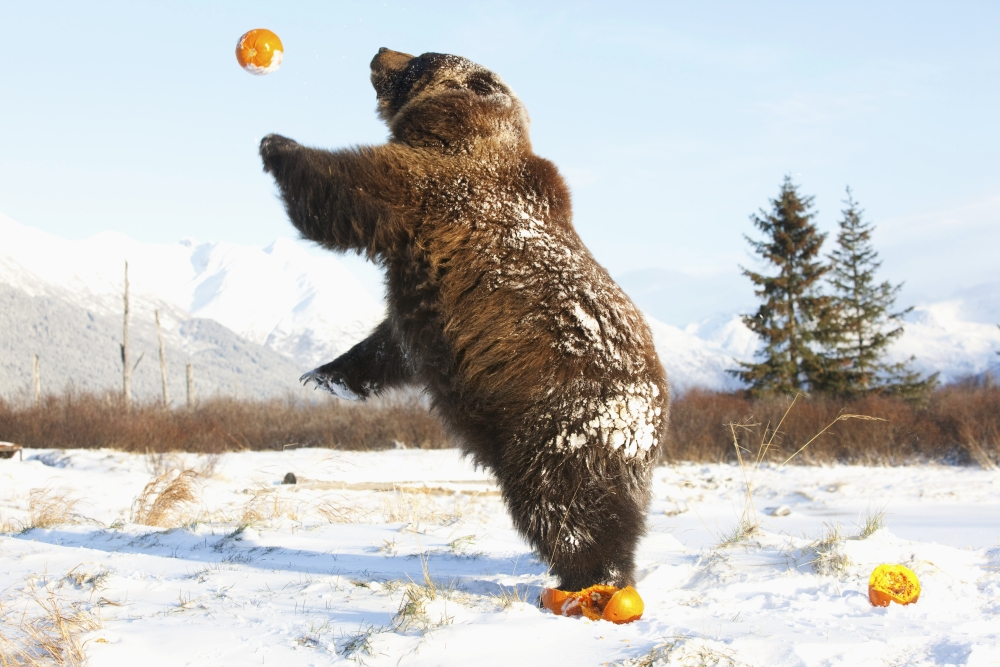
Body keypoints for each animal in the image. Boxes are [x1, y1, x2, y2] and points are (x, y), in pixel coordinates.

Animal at [259, 48, 669, 591]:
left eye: (419, 58)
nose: (379, 52)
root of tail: (653, 417)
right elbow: (390, 343)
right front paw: (328, 374)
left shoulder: (436, 188)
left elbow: (351, 186)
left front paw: (277, 143)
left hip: (557, 423)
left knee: (568, 506)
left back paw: (591, 581)